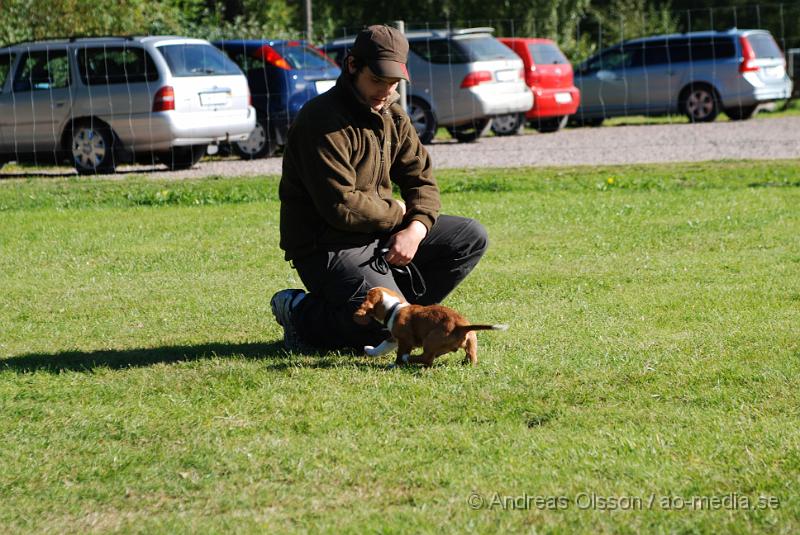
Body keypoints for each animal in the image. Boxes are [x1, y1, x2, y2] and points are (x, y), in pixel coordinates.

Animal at [354, 286, 510, 366]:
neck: (394, 307)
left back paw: (408, 359)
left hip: (430, 339)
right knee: (472, 357)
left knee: (426, 358)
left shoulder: (405, 340)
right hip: (471, 343)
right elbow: (383, 345)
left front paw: (395, 364)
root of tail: (461, 326)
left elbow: (399, 353)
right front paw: (371, 350)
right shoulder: (394, 338)